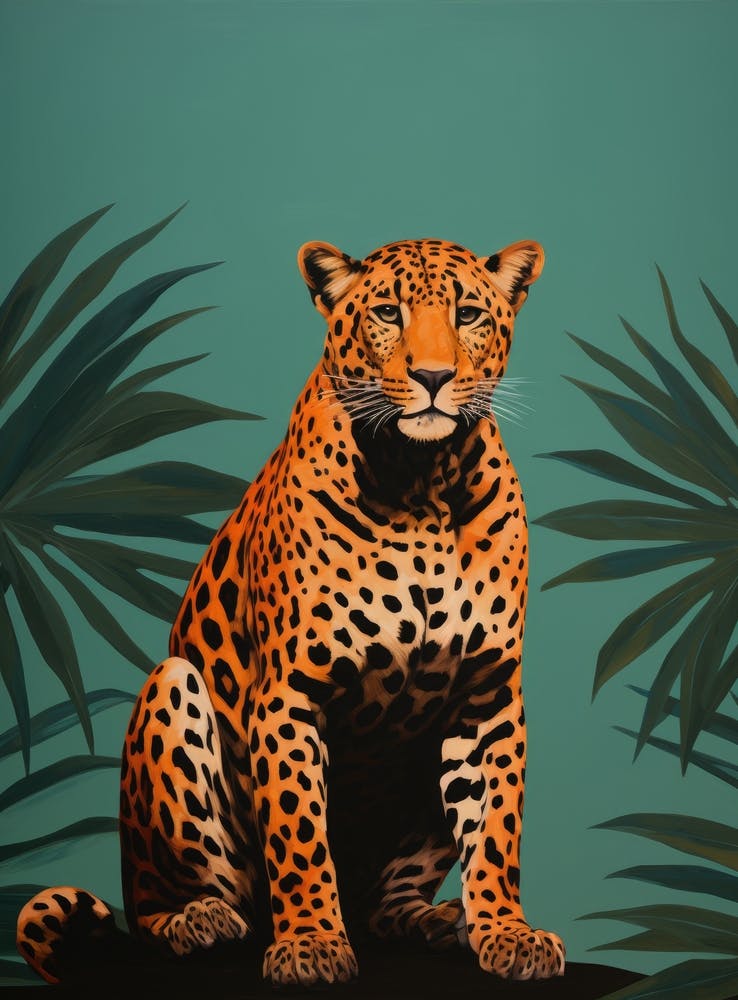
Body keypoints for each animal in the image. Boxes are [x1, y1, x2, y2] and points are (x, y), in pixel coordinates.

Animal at [17, 236, 565, 987]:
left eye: (470, 314)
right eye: (387, 313)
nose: (432, 375)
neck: (423, 482)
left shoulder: (486, 695)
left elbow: (496, 830)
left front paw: (507, 931)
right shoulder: (292, 694)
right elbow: (299, 831)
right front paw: (308, 943)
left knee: (384, 904)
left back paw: (433, 921)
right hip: (170, 696)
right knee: (160, 902)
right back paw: (199, 921)